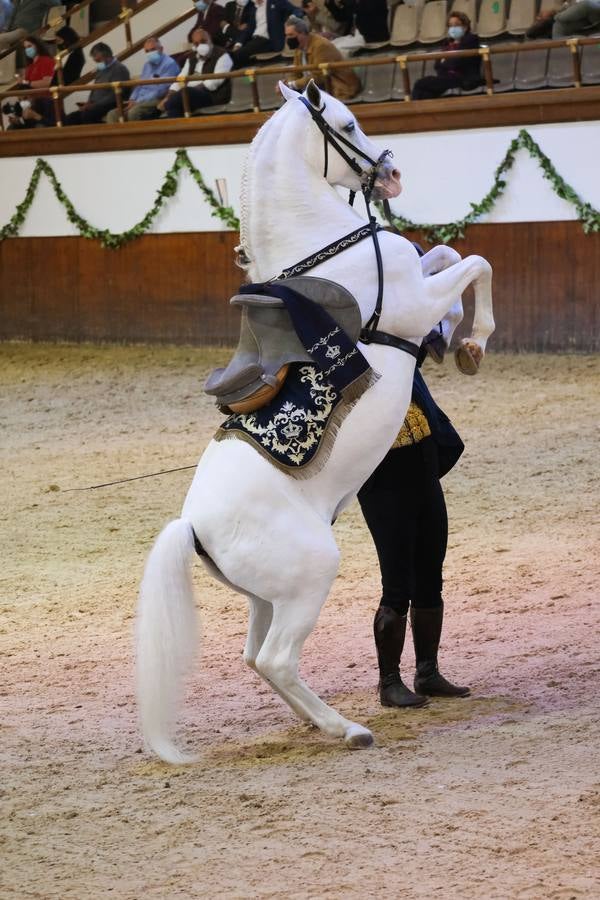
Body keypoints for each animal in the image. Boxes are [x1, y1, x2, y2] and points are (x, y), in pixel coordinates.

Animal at [136, 81, 492, 764]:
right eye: (348, 124)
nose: (393, 174)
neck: (326, 249)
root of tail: (193, 527)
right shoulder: (414, 303)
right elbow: (475, 261)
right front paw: (474, 340)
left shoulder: (421, 278)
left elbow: (445, 251)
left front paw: (456, 339)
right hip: (310, 577)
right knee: (276, 659)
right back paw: (347, 730)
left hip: (267, 596)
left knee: (256, 657)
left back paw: (317, 722)